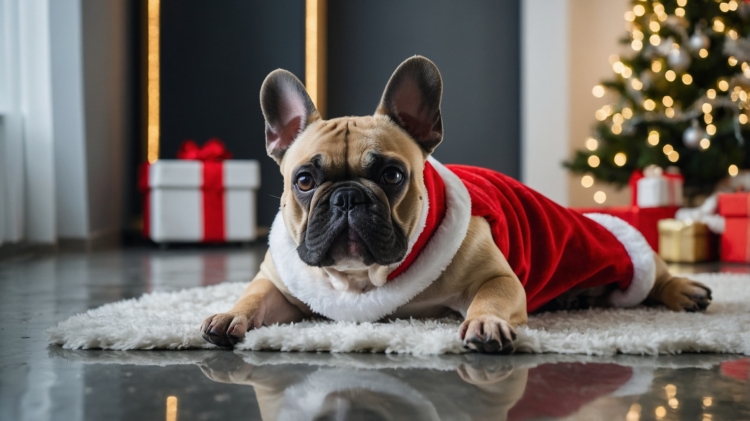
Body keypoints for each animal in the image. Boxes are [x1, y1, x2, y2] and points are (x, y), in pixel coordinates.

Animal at [201, 55, 716, 352]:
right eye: (305, 180)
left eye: (392, 176)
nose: (347, 197)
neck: (362, 282)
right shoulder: (278, 284)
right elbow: (251, 296)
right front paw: (227, 314)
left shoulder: (497, 277)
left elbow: (489, 297)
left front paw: (485, 324)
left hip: (597, 239)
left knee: (648, 269)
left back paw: (685, 291)